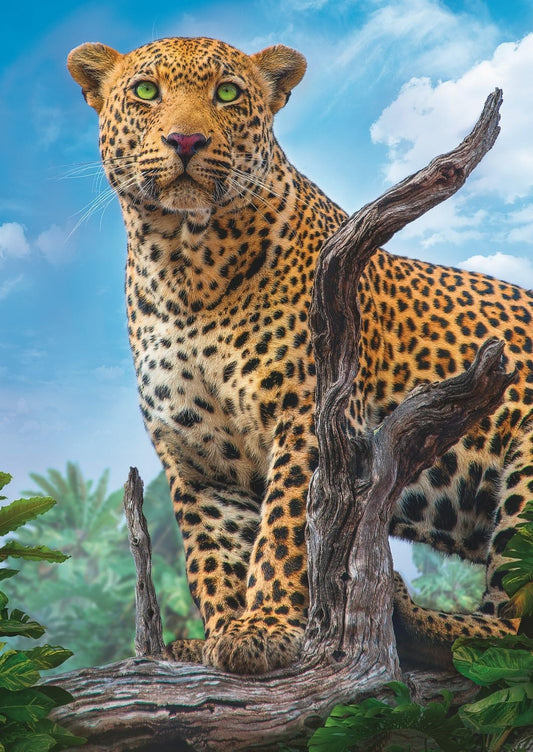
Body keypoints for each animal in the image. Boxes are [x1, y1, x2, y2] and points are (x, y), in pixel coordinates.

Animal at [67, 36, 533, 675]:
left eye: (227, 92)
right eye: (145, 91)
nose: (185, 141)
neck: (184, 266)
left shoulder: (312, 417)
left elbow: (288, 528)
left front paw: (265, 626)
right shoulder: (196, 458)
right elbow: (213, 554)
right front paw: (220, 634)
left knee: (513, 627)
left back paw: (407, 615)